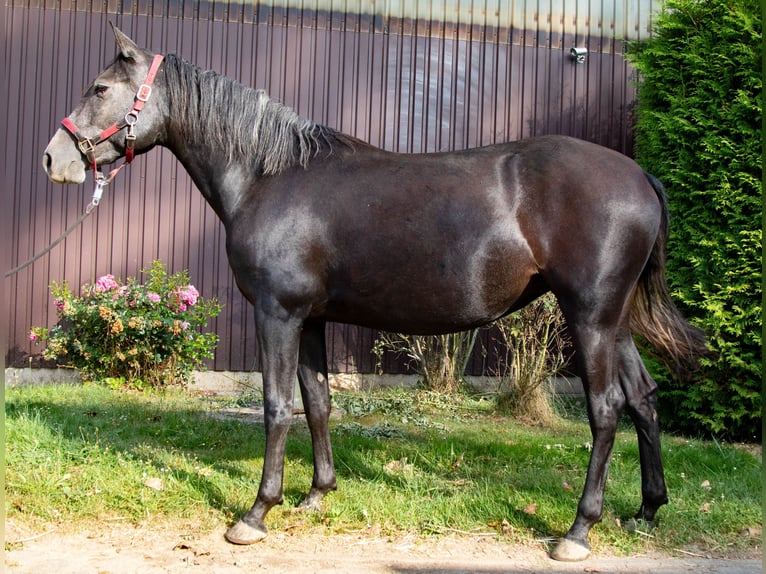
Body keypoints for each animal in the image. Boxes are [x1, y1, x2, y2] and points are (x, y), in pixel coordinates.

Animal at [43, 25, 708, 564]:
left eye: (100, 87)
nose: (54, 159)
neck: (268, 175)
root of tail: (639, 175)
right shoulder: (309, 319)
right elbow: (316, 403)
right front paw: (316, 495)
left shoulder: (276, 314)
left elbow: (276, 407)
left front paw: (255, 514)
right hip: (613, 320)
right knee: (643, 399)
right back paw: (646, 510)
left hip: (589, 317)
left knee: (606, 409)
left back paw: (577, 531)